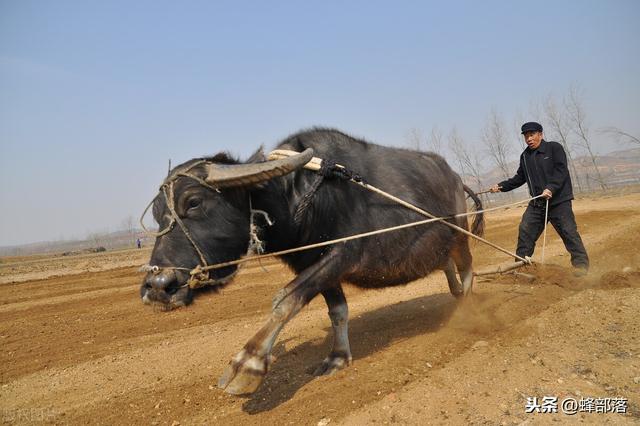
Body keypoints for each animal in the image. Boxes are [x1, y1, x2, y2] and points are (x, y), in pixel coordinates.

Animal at [139, 127, 480, 396]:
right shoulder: (314, 265)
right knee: (448, 268)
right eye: (157, 214)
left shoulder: (342, 255)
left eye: (194, 203)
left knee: (467, 270)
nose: (158, 285)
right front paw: (337, 358)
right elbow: (337, 311)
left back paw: (465, 310)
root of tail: (456, 179)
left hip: (459, 236)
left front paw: (247, 363)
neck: (297, 198)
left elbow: (284, 299)